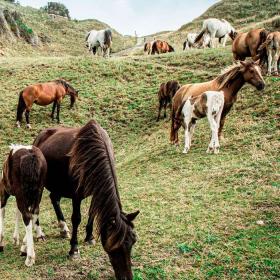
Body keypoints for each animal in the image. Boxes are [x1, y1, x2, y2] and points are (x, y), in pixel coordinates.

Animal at [34, 120, 140, 280]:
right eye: (114, 246)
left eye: (133, 242)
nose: (126, 277)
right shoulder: (76, 195)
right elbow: (76, 218)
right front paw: (74, 249)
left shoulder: (95, 190)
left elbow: (92, 213)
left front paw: (89, 237)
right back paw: (39, 234)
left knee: (54, 199)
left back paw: (63, 228)